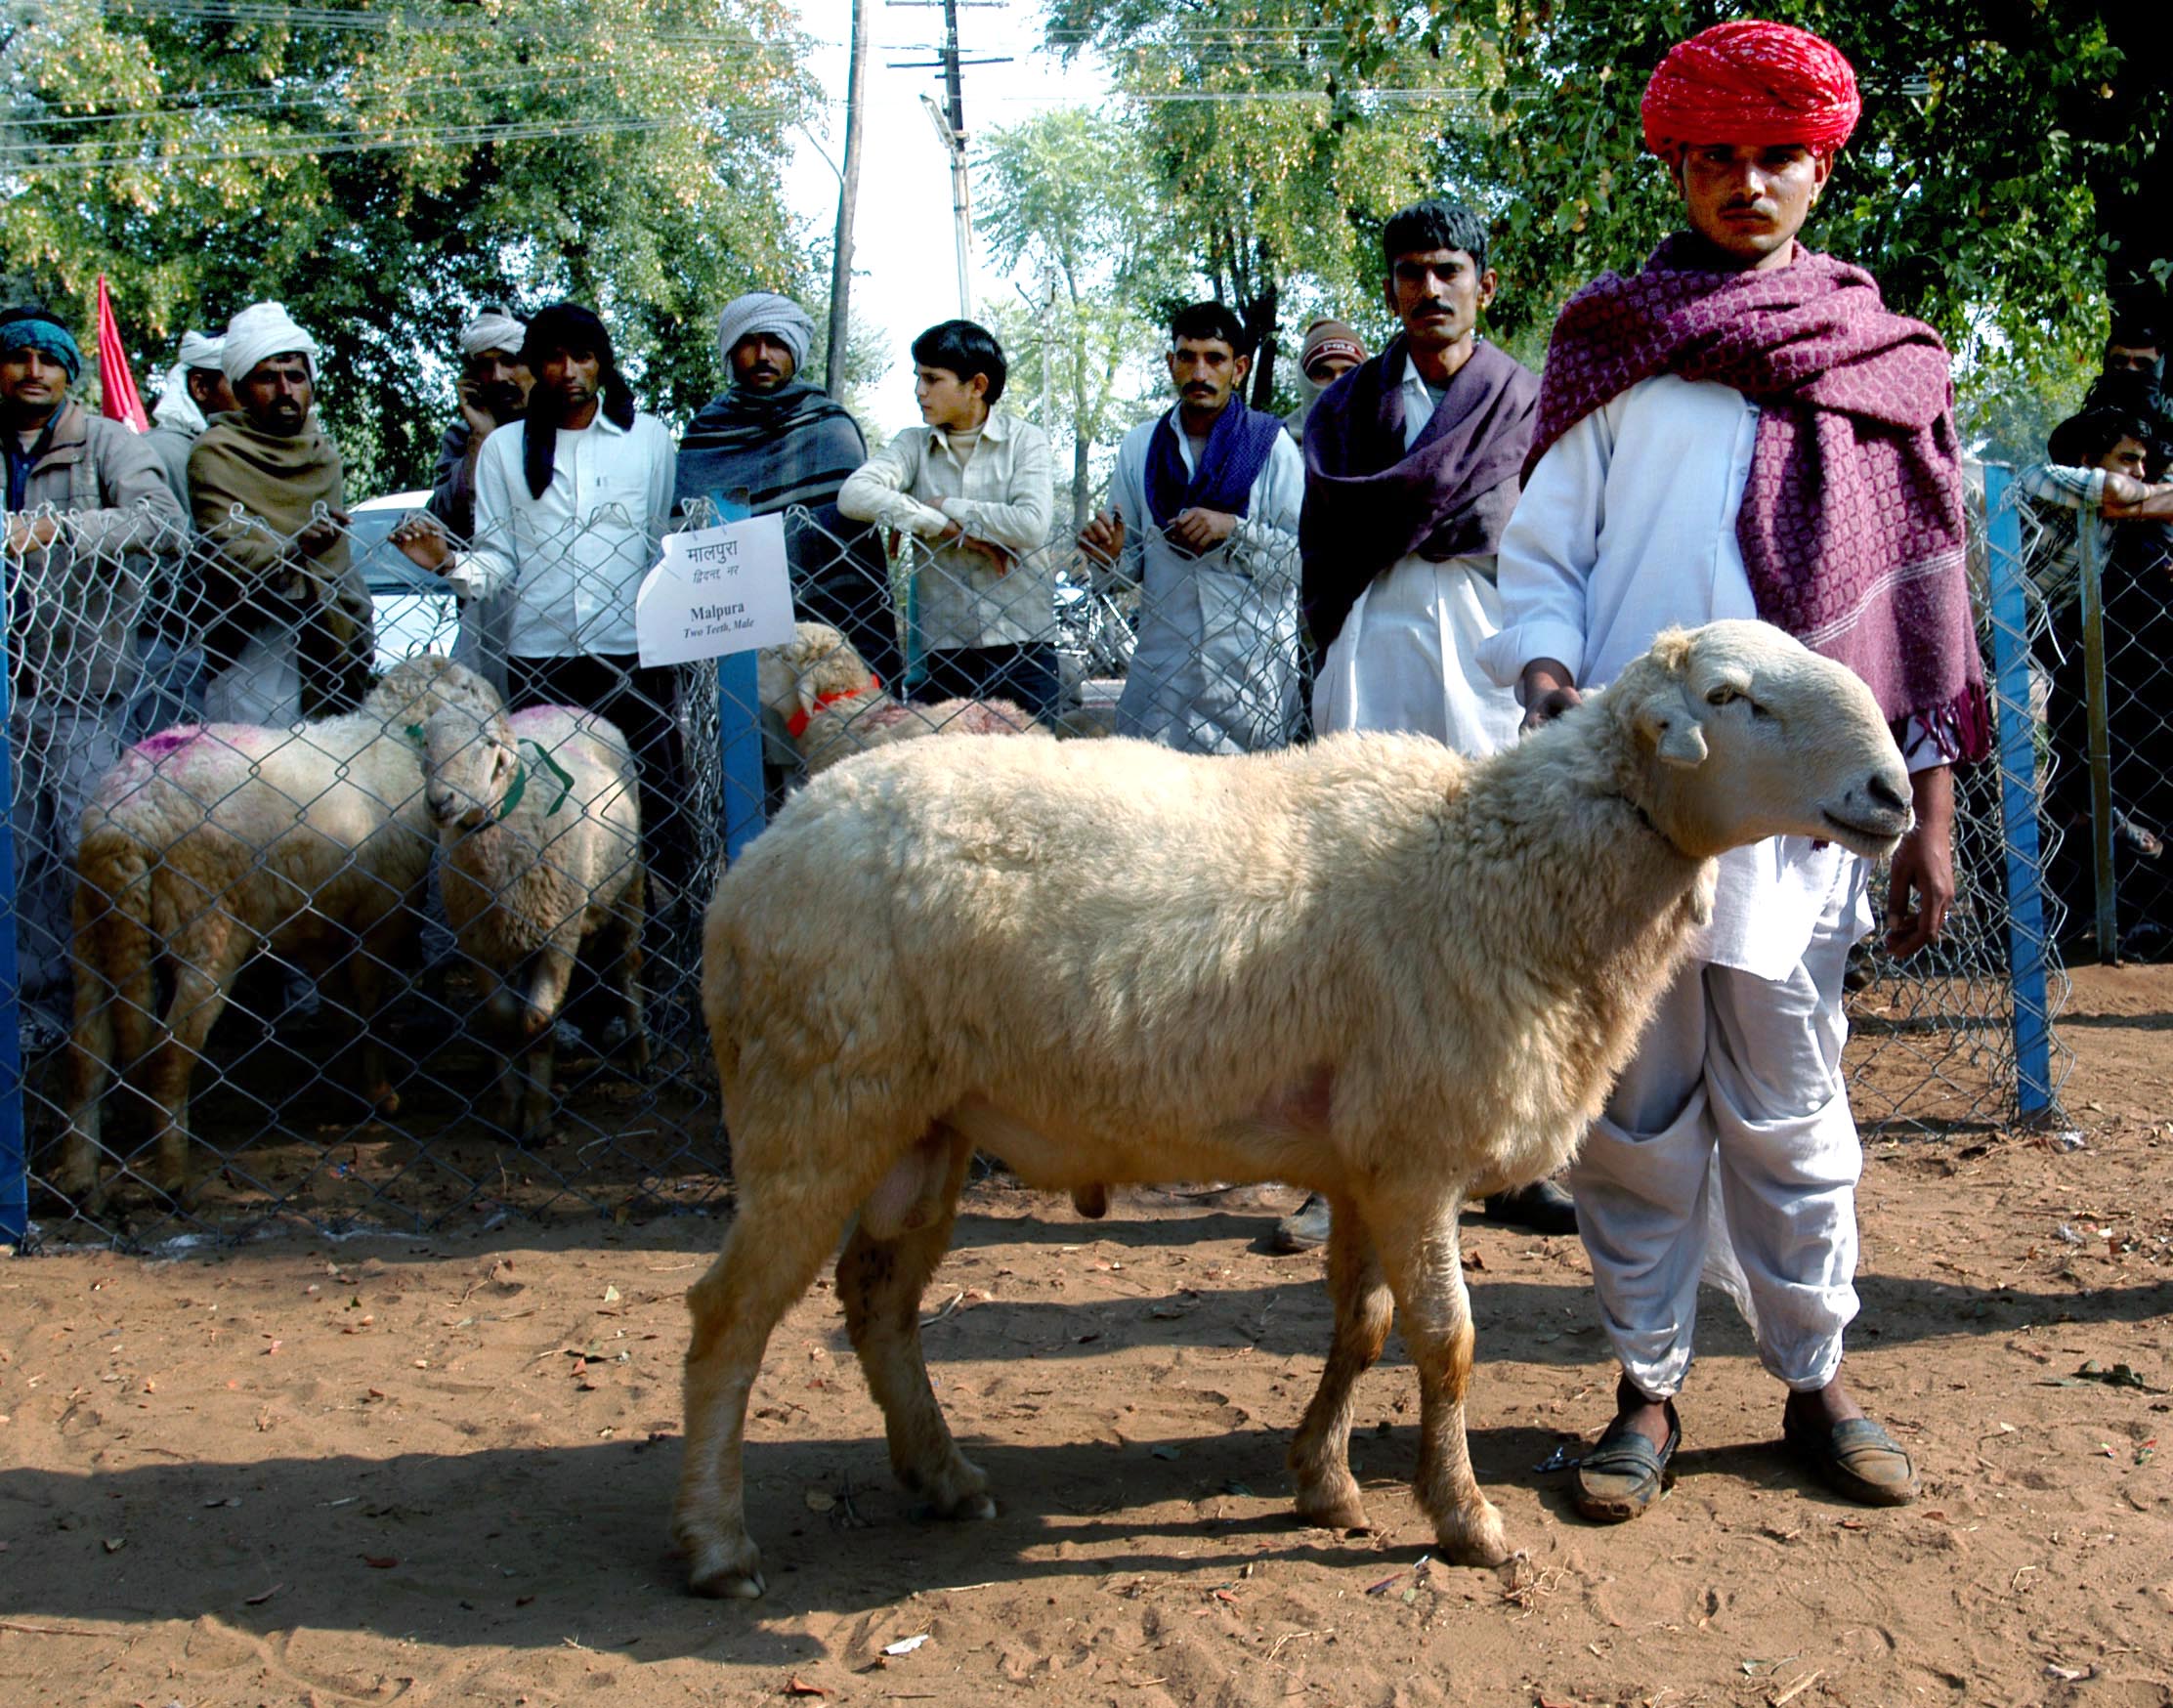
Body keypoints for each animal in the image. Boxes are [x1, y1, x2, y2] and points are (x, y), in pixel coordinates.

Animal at [58, 647, 503, 1199]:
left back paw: (80, 1180)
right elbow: (371, 1009)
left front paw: (356, 1094)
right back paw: (173, 1179)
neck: (396, 741)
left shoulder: (320, 929)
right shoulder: (382, 916)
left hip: (93, 932)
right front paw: (381, 1094)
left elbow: (343, 1012)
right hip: (206, 929)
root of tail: (128, 818)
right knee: (166, 1059)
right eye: (470, 692)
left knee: (85, 1059)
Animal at [419, 700, 643, 1147]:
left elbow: (537, 1023)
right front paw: (509, 1113)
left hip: (629, 887)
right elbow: (504, 1023)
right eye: (426, 742)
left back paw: (640, 1053)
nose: (440, 801)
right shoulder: (480, 944)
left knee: (628, 967)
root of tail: (558, 705)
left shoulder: (559, 937)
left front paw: (538, 1121)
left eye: (488, 743)